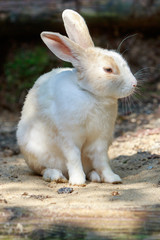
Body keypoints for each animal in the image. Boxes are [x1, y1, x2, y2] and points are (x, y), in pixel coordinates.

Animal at [16, 9, 138, 185]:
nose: (134, 84)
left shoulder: (100, 140)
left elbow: (102, 161)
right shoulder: (68, 138)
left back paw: (95, 176)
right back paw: (57, 177)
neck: (90, 94)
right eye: (108, 69)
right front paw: (77, 181)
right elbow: (73, 159)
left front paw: (112, 179)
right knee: (44, 169)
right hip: (36, 155)